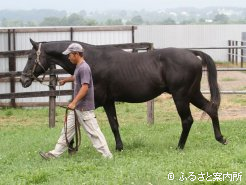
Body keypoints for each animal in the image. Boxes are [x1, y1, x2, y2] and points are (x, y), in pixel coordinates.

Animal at [20, 38, 227, 150]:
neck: (92, 60)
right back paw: (220, 138)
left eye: (30, 57)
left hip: (181, 96)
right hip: (191, 93)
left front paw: (70, 144)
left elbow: (76, 116)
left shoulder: (96, 100)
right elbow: (114, 125)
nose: (23, 79)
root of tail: (191, 53)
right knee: (211, 109)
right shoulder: (108, 101)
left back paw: (179, 146)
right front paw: (119, 147)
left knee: (187, 120)